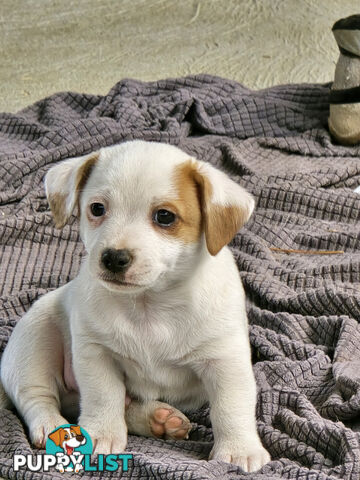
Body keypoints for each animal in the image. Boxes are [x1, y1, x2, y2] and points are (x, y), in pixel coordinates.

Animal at [0, 141, 270, 470]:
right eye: (97, 209)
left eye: (164, 216)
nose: (114, 258)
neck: (149, 304)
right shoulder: (96, 353)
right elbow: (104, 396)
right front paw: (99, 435)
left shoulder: (225, 360)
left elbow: (232, 405)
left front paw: (239, 449)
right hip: (35, 340)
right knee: (36, 397)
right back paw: (54, 427)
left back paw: (158, 419)